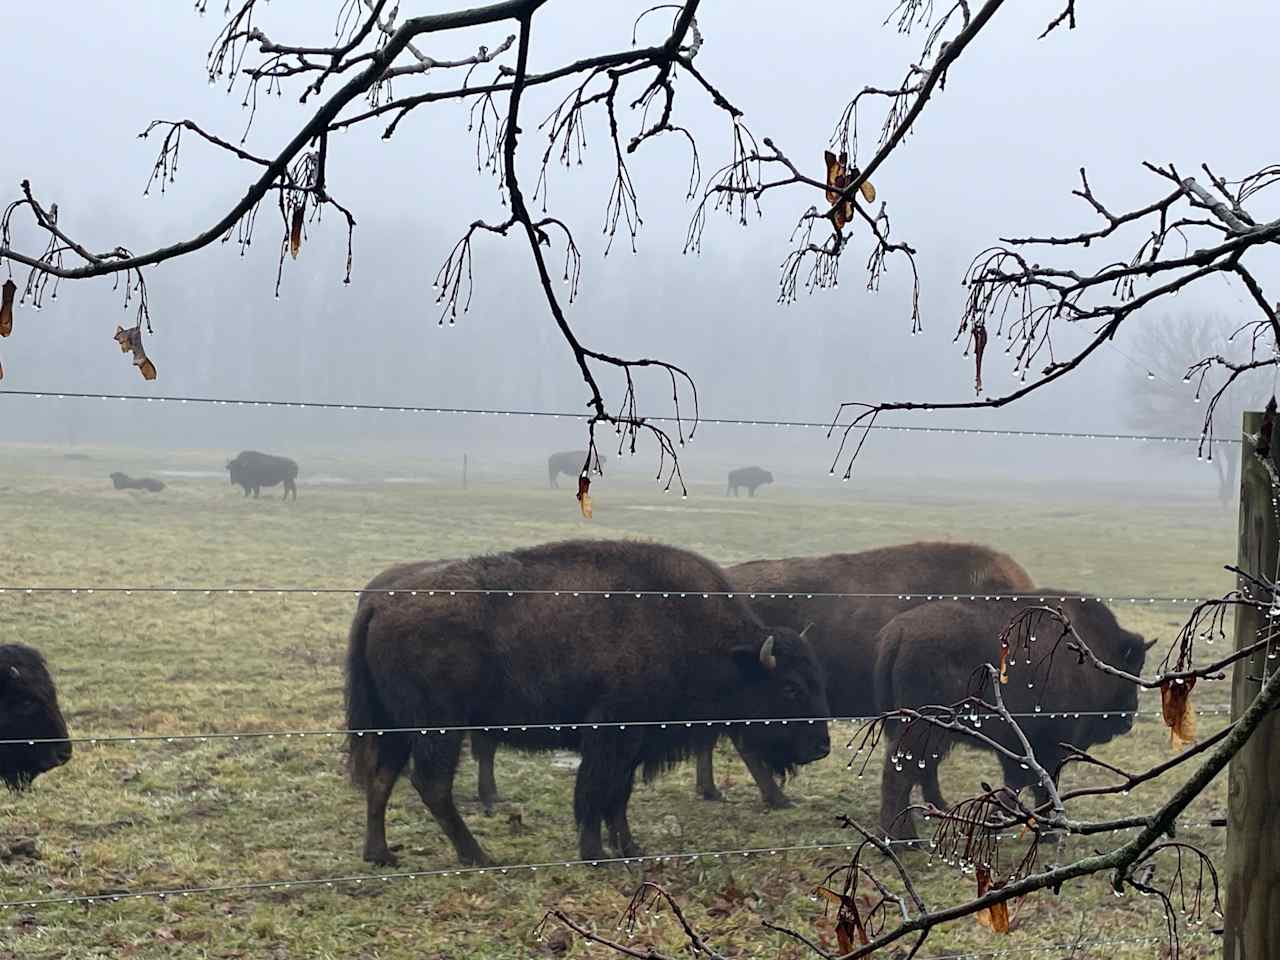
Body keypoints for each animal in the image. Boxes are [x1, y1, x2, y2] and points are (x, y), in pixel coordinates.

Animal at [348, 542, 829, 870]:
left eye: (816, 681)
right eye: (790, 688)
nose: (821, 747)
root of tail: (380, 601)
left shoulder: (635, 741)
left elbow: (619, 794)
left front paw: (629, 847)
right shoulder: (612, 733)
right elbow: (596, 790)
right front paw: (595, 852)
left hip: (397, 726)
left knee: (381, 778)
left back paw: (381, 854)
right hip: (439, 727)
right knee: (430, 784)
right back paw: (477, 855)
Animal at [875, 593, 1146, 839]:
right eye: (1130, 669)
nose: (1128, 719)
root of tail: (898, 633)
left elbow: (1016, 785)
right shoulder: (1047, 747)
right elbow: (1041, 788)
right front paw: (1047, 832)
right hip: (924, 730)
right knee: (899, 774)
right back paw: (903, 841)